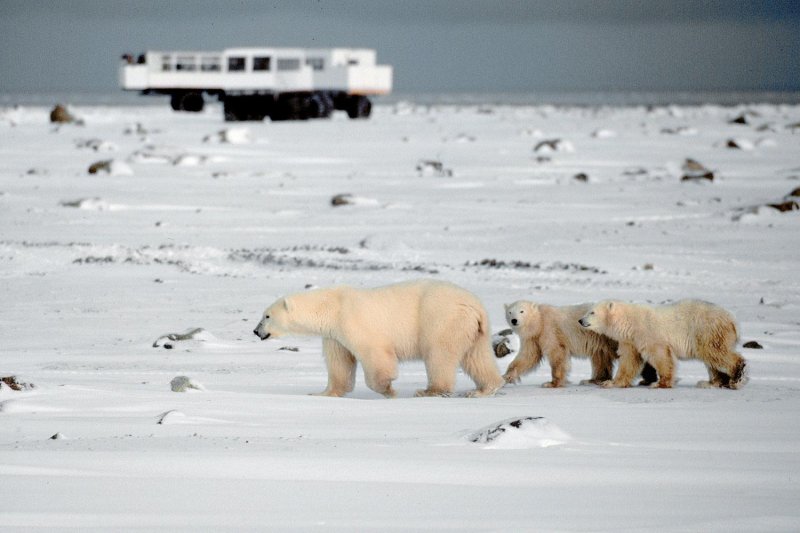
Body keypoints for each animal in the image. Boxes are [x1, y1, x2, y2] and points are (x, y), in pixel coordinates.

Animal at [253, 278, 504, 394]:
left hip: (442, 320)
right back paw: (484, 389)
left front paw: (387, 389)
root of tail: (475, 306)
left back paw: (429, 390)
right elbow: (340, 364)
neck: (332, 307)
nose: (256, 331)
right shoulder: (335, 335)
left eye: (266, 316)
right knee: (477, 358)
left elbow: (375, 354)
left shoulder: (353, 321)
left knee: (439, 354)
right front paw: (322, 392)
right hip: (474, 330)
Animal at [580, 298, 748, 388]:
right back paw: (710, 383)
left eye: (592, 312)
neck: (630, 321)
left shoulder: (649, 333)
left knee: (714, 352)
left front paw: (660, 383)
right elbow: (629, 360)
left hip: (707, 330)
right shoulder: (630, 340)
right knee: (712, 358)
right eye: (588, 310)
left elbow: (660, 356)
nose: (580, 320)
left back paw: (737, 376)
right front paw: (611, 382)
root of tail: (733, 320)